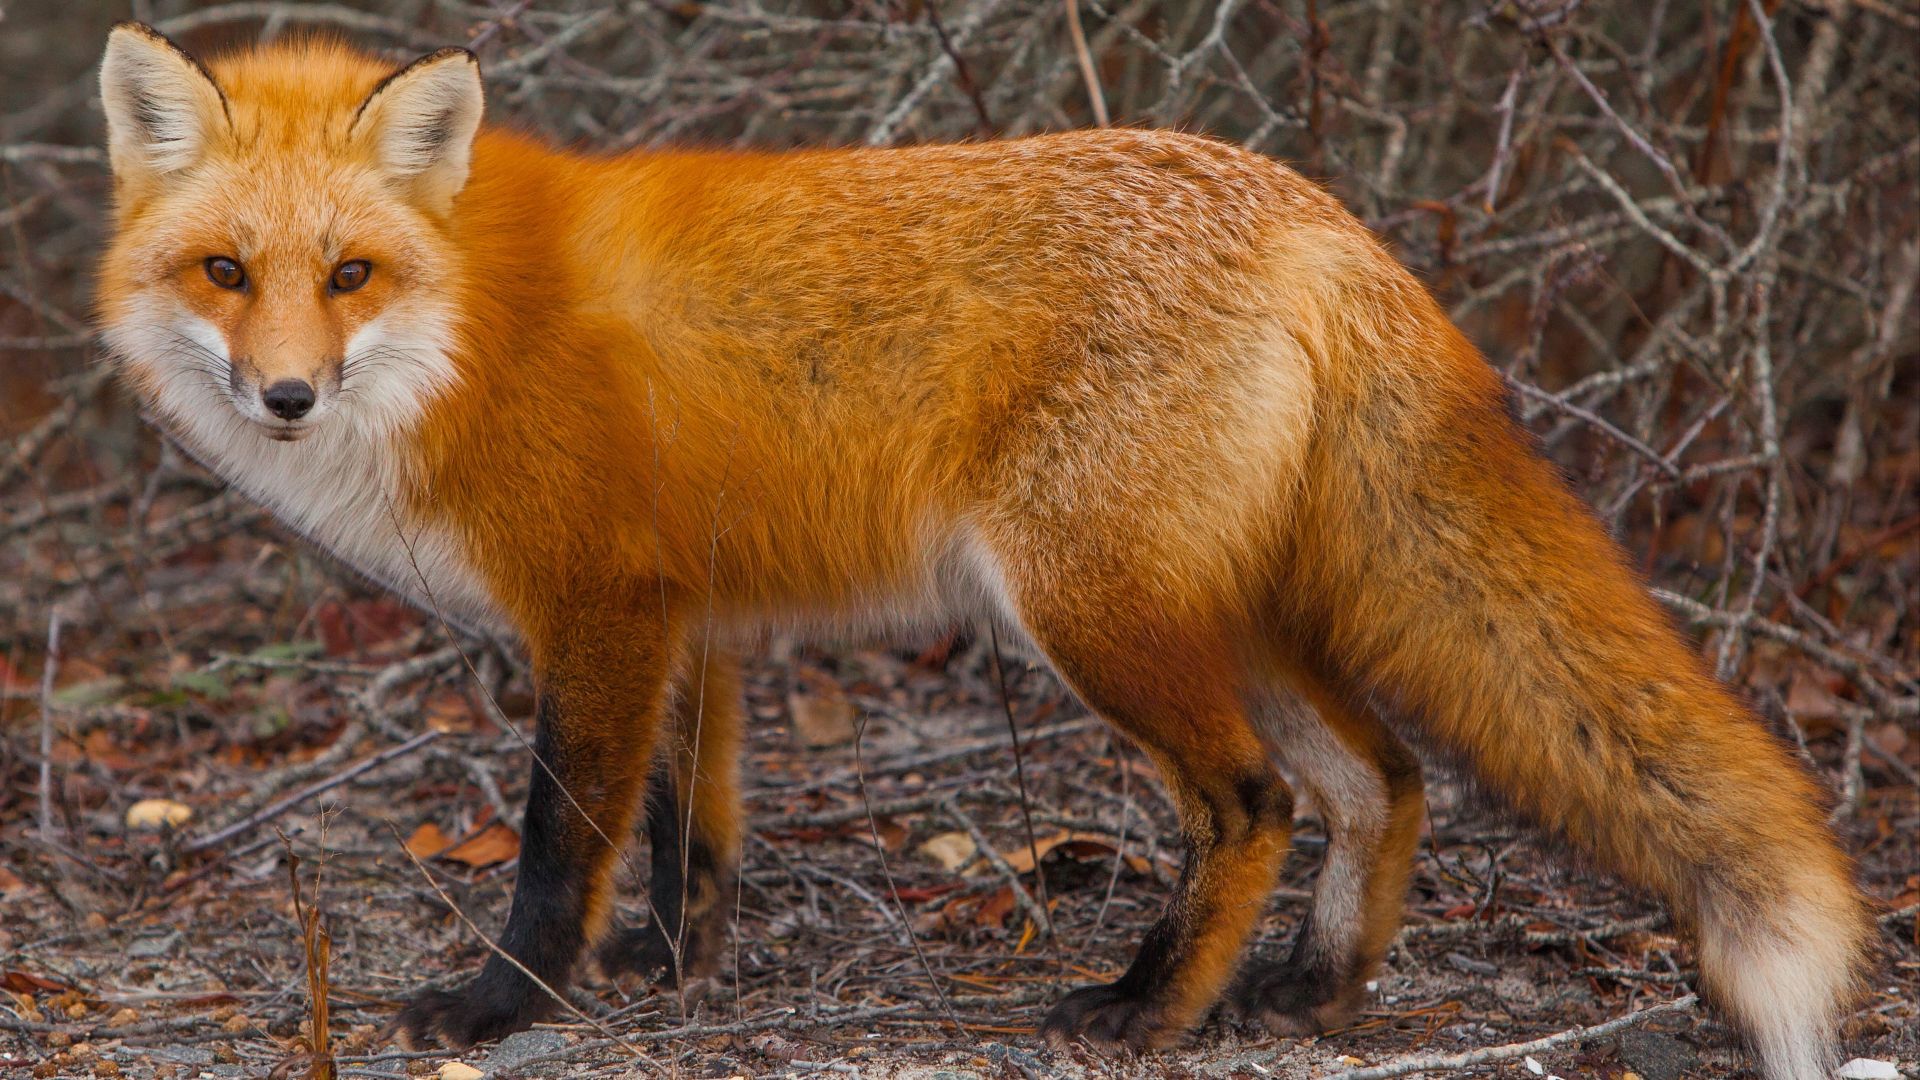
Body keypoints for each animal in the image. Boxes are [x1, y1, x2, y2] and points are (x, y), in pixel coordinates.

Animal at [93, 24, 1873, 1080]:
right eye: (229, 270)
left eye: (352, 274)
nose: (284, 395)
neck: (470, 325)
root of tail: (1315, 210)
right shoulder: (687, 623)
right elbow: (689, 834)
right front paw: (680, 971)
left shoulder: (600, 608)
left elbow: (559, 843)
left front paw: (500, 1008)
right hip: (1230, 613)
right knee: (1385, 779)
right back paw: (1312, 994)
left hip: (1089, 611)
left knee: (1257, 801)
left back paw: (1152, 1010)